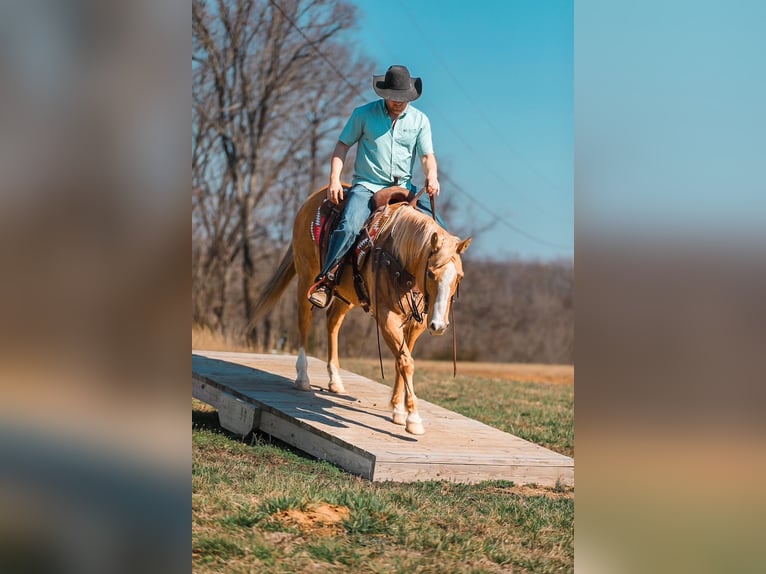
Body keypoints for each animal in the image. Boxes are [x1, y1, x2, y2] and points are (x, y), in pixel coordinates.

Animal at [251, 185, 471, 435]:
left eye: (459, 277)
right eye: (432, 274)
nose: (439, 325)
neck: (399, 257)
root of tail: (314, 196)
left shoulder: (416, 324)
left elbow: (402, 360)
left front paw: (398, 410)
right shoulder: (387, 317)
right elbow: (406, 362)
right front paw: (413, 419)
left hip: (346, 296)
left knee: (332, 323)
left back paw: (335, 380)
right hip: (306, 275)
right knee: (304, 322)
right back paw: (303, 377)